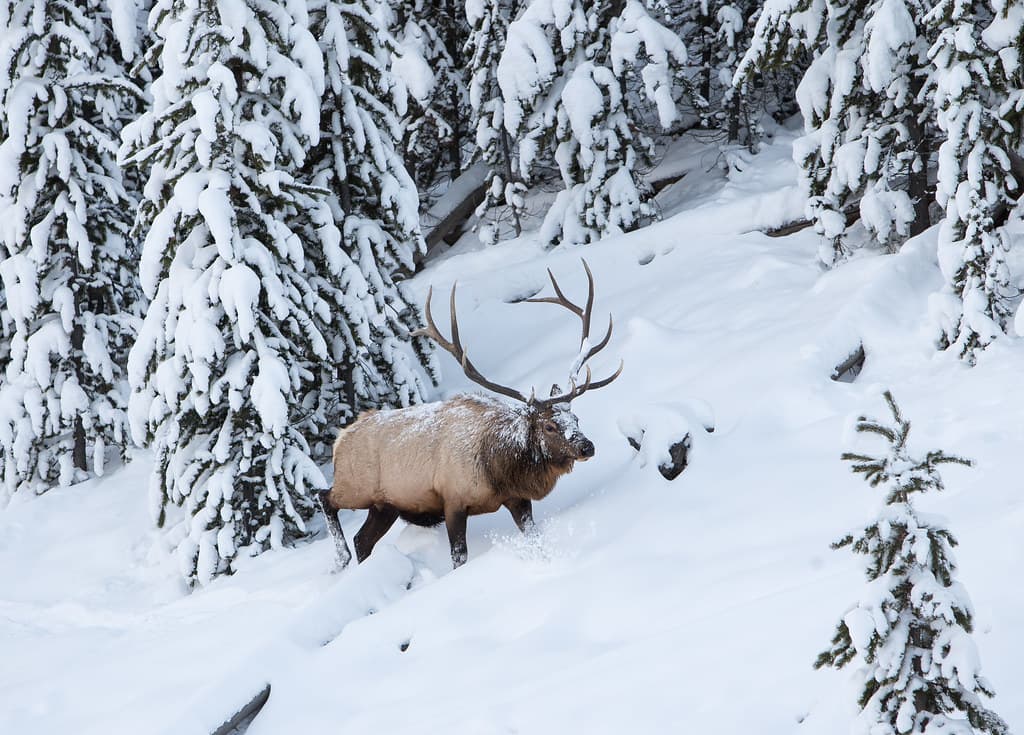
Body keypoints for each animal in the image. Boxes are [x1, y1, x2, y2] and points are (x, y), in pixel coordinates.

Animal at [318, 259, 622, 571]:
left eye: (576, 419)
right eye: (549, 426)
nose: (587, 446)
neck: (499, 469)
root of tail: (340, 439)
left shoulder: (517, 499)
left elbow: (533, 536)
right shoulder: (453, 501)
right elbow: (459, 556)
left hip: (385, 504)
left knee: (362, 540)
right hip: (355, 486)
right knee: (325, 497)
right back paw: (340, 559)